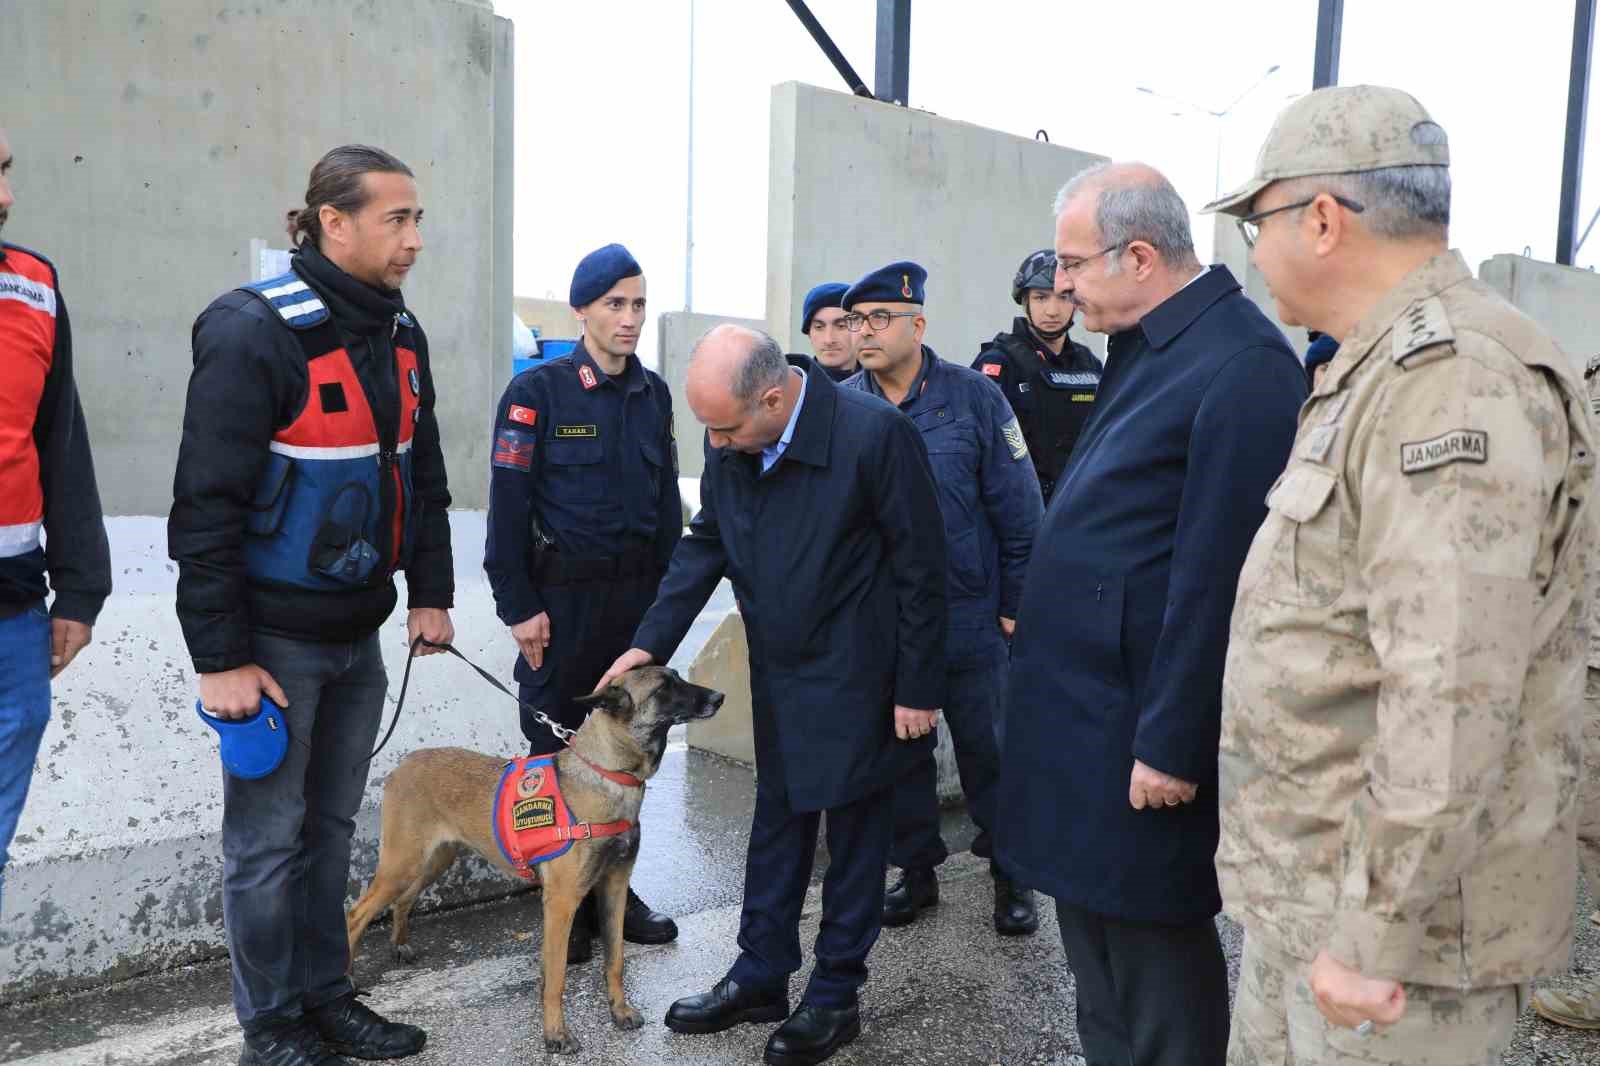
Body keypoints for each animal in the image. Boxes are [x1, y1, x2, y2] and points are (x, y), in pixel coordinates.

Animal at [350, 669, 726, 1049]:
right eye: (664, 687)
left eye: (677, 677)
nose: (720, 697)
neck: (607, 772)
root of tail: (405, 762)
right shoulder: (561, 901)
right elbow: (558, 975)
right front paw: (555, 1033)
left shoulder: (614, 888)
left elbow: (615, 959)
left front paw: (619, 1012)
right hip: (403, 864)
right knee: (356, 914)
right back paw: (349, 977)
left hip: (433, 860)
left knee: (403, 900)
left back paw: (400, 944)